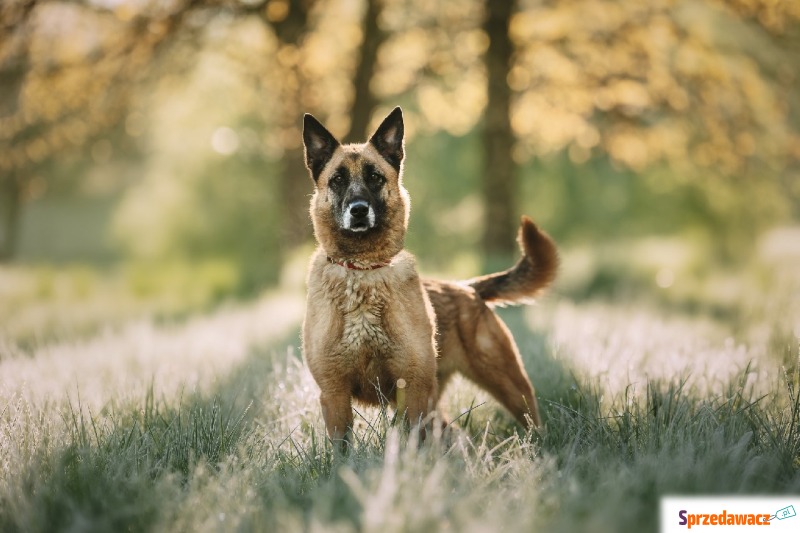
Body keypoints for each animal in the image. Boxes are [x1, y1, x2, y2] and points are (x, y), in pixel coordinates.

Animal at [300, 107, 556, 444]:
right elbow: (342, 447)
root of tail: (467, 287)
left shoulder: (412, 388)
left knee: (532, 421)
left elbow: (410, 441)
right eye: (338, 179)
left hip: (509, 385)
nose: (358, 210)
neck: (364, 272)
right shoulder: (334, 394)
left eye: (374, 177)